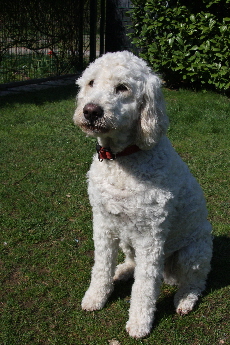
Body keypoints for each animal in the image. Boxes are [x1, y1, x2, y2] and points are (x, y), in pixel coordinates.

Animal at [73, 51, 212, 338]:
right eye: (91, 82)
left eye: (122, 88)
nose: (90, 111)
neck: (121, 159)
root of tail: (169, 276)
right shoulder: (103, 222)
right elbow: (101, 266)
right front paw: (95, 297)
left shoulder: (151, 236)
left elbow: (145, 285)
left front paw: (139, 322)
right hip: (128, 238)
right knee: (132, 262)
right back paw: (123, 270)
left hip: (193, 252)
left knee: (196, 280)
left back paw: (185, 299)